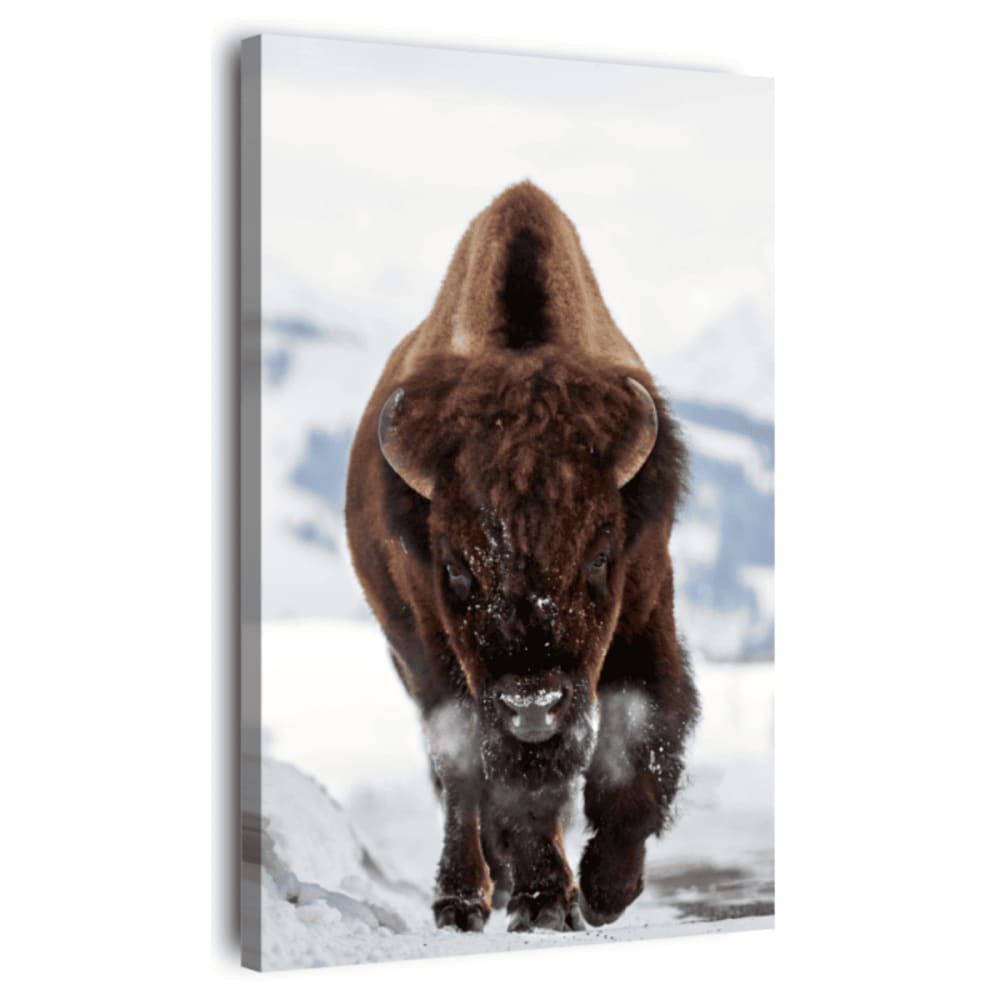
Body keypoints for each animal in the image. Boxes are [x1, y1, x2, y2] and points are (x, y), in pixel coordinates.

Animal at [345, 181, 699, 933]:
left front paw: (605, 890)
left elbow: (639, 739)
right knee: (459, 777)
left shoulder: (645, 607)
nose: (532, 705)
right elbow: (502, 778)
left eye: (601, 554)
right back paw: (465, 899)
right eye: (454, 566)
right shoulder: (446, 654)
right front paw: (543, 901)